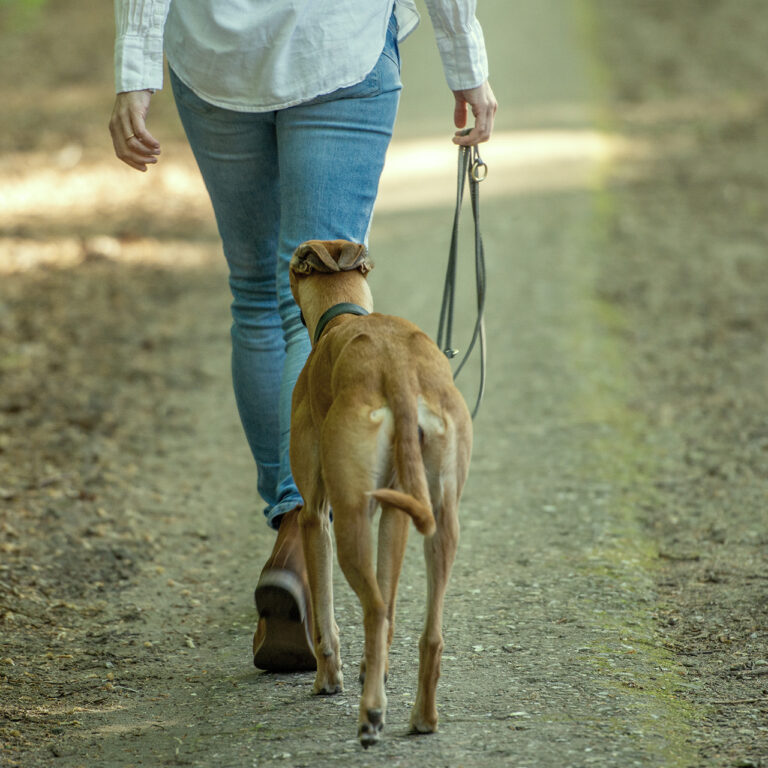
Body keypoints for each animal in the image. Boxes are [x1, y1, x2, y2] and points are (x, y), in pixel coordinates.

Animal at [286, 238, 472, 744]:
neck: (343, 317)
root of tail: (399, 373)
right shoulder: (393, 512)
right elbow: (389, 601)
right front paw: (376, 668)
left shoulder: (316, 515)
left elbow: (327, 618)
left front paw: (328, 679)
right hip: (440, 518)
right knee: (425, 631)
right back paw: (422, 716)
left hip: (349, 518)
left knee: (372, 608)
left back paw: (370, 714)